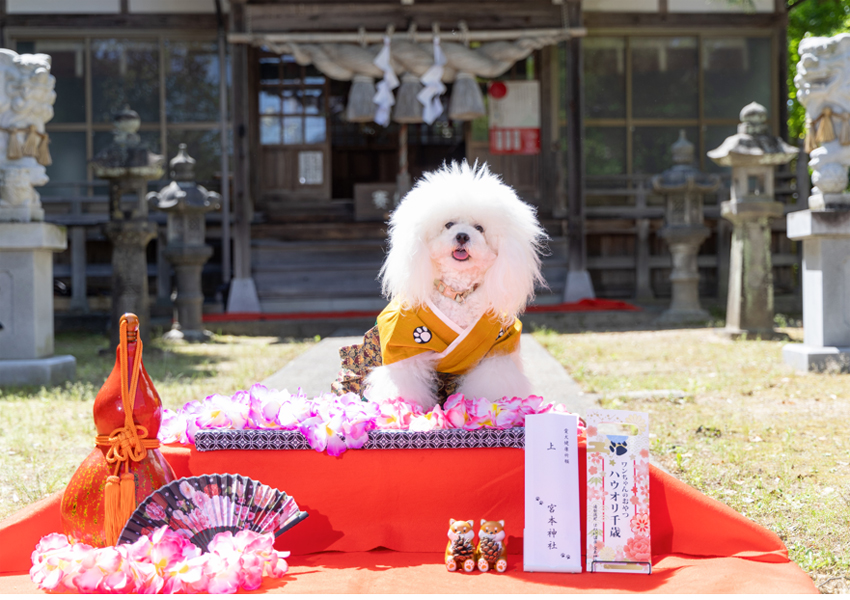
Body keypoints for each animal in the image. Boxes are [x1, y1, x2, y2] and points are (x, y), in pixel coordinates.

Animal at [362, 161, 548, 412]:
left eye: (479, 228)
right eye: (448, 224)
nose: (462, 236)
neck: (457, 293)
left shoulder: (498, 348)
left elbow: (493, 382)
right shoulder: (403, 342)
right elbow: (405, 379)